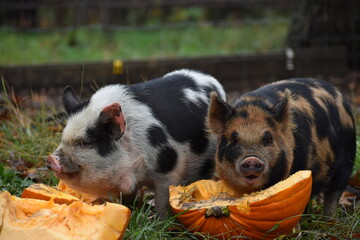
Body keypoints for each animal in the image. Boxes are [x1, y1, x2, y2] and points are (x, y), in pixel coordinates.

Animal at [46, 68, 226, 217]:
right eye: (63, 138)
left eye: (84, 142)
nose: (50, 159)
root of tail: (211, 79)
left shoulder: (167, 169)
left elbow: (163, 199)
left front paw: (162, 222)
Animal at [207, 78, 356, 217]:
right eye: (233, 140)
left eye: (268, 139)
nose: (252, 159)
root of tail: (337, 92)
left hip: (347, 160)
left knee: (334, 193)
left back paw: (328, 220)